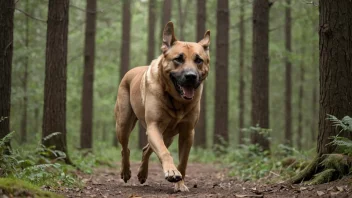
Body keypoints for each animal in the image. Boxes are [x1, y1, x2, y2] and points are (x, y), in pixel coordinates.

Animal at [115, 21, 209, 192]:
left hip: (168, 135)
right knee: (125, 148)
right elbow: (164, 152)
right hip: (123, 124)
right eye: (178, 59)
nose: (191, 76)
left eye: (199, 60)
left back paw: (142, 174)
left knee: (146, 149)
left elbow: (183, 162)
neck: (176, 100)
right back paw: (125, 172)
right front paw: (171, 172)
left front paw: (180, 184)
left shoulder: (187, 132)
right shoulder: (153, 126)